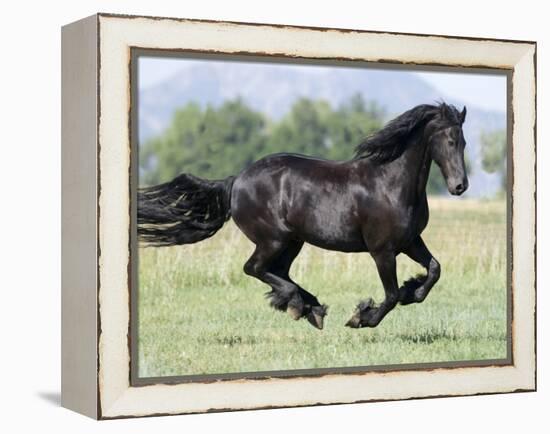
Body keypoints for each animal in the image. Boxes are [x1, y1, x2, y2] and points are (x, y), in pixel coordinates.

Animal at [138, 103, 470, 330]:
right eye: (450, 141)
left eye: (464, 142)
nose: (459, 186)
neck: (390, 184)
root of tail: (236, 180)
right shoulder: (382, 250)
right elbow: (389, 296)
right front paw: (361, 316)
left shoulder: (411, 241)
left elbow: (434, 270)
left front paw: (412, 289)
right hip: (272, 239)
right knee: (255, 268)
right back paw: (301, 305)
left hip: (292, 241)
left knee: (277, 272)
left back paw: (309, 307)